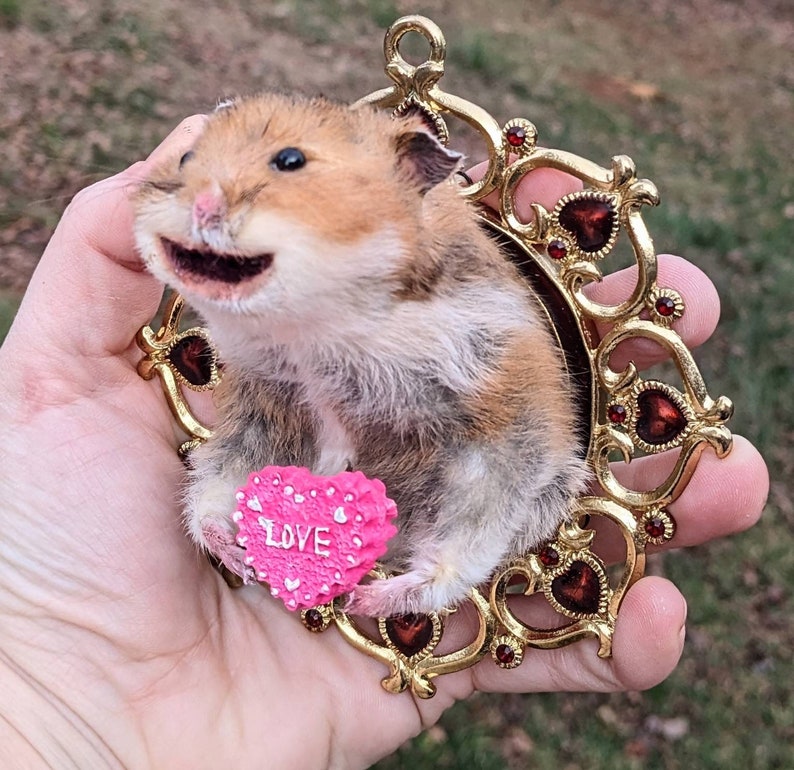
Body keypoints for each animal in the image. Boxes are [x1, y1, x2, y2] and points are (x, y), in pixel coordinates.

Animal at [134, 92, 588, 617]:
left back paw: (365, 598)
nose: (203, 205)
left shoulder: (498, 439)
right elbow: (216, 488)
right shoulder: (261, 413)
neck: (309, 330)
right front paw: (240, 555)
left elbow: (464, 549)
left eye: (291, 160)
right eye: (185, 157)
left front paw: (360, 596)